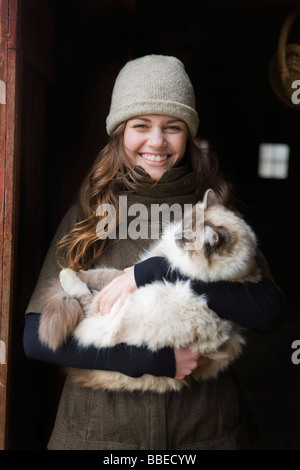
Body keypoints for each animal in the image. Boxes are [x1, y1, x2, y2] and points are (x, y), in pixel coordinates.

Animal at [39, 190, 260, 392]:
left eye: (187, 238)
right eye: (183, 223)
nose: (175, 235)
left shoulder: (134, 276)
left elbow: (103, 280)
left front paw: (69, 273)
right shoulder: (135, 267)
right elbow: (102, 274)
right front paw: (75, 270)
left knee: (88, 305)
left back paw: (67, 278)